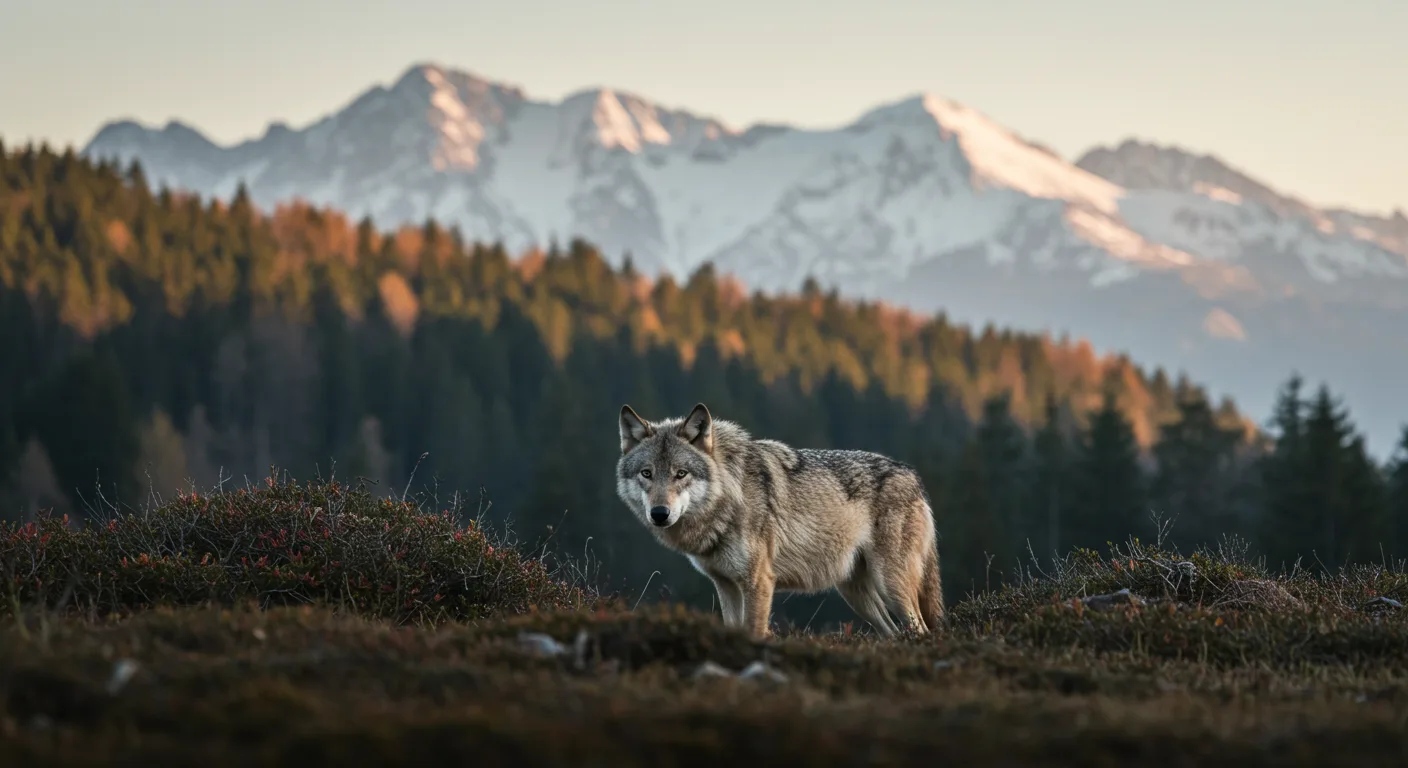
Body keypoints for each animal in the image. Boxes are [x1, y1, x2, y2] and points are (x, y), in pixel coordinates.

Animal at [615, 402, 944, 640]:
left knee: (919, 630)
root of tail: (914, 477)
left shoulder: (758, 582)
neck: (728, 498)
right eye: (647, 473)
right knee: (894, 634)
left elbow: (755, 632)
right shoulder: (726, 586)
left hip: (890, 584)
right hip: (857, 595)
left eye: (680, 474)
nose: (659, 513)